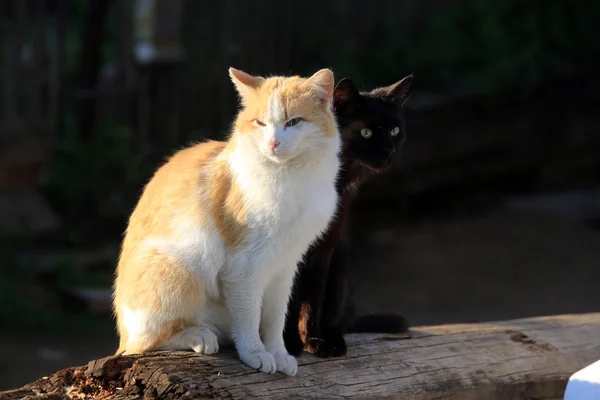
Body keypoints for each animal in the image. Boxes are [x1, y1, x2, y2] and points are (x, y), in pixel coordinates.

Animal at [110, 67, 340, 376]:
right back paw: (198, 335)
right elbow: (249, 317)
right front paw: (255, 352)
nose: (273, 143)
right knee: (144, 344)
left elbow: (275, 318)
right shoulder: (243, 268)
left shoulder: (284, 266)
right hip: (180, 265)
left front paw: (278, 352)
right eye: (260, 123)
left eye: (294, 122)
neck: (290, 176)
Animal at [284, 75, 412, 360]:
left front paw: (314, 341)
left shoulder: (323, 250)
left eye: (394, 131)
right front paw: (287, 345)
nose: (389, 151)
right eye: (366, 132)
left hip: (340, 264)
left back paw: (333, 340)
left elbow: (312, 302)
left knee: (333, 316)